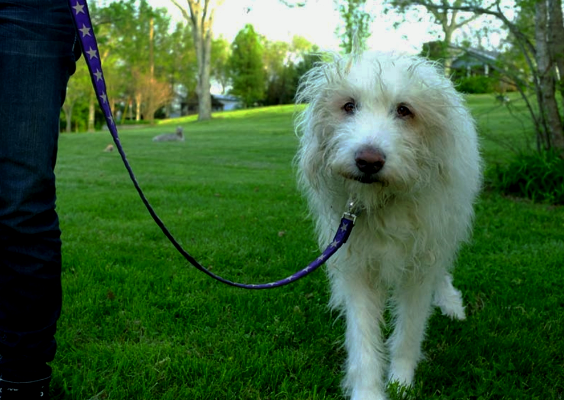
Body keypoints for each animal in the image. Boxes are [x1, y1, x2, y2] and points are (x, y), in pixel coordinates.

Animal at [296, 51, 480, 398]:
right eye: (349, 106)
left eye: (404, 110)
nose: (368, 161)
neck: (384, 199)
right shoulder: (357, 267)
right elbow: (363, 340)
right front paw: (368, 391)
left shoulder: (420, 266)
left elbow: (409, 332)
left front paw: (401, 383)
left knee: (442, 272)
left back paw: (450, 303)